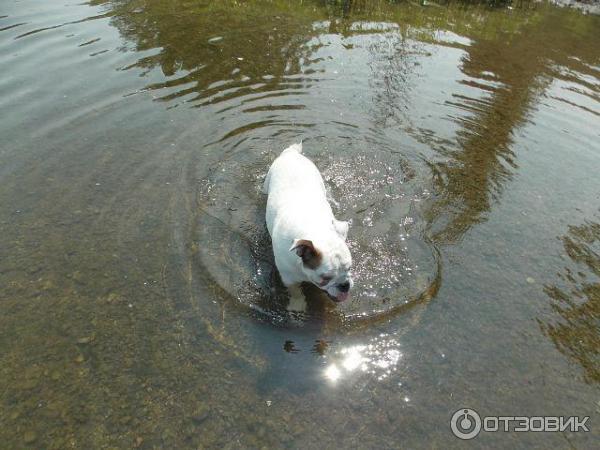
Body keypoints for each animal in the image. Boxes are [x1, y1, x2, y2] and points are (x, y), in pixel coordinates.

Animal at [262, 142, 352, 308]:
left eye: (349, 269)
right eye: (325, 278)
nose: (345, 285)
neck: (315, 230)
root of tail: (291, 154)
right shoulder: (288, 278)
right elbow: (295, 292)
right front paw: (298, 306)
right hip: (266, 185)